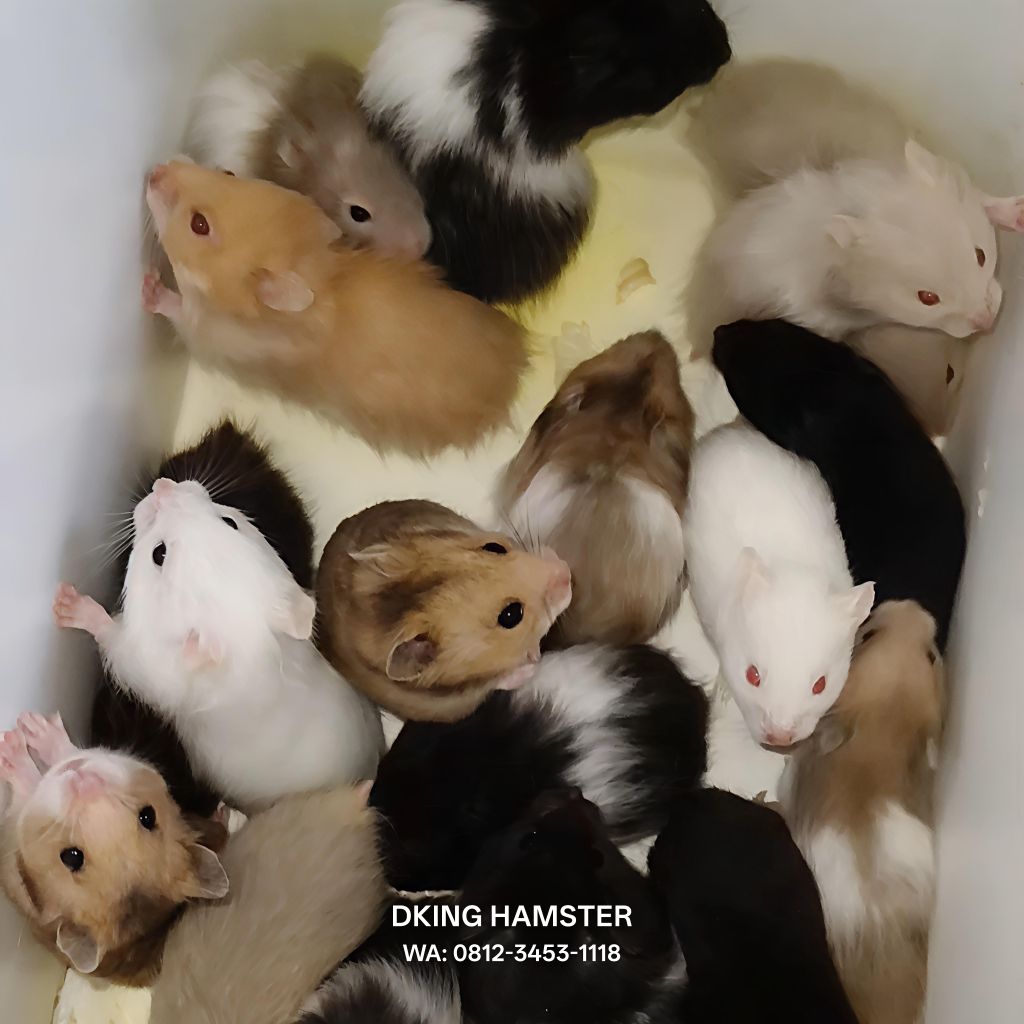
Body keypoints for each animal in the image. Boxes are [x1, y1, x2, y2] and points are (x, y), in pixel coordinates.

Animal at [54, 477, 383, 813]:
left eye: (159, 553)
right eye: (230, 521)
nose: (162, 485)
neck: (251, 650)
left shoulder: (151, 670)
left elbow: (117, 642)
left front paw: (69, 604)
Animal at [143, 161, 528, 457]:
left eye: (199, 224)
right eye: (228, 172)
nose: (155, 170)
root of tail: (509, 385)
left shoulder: (208, 335)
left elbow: (178, 310)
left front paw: (149, 285)